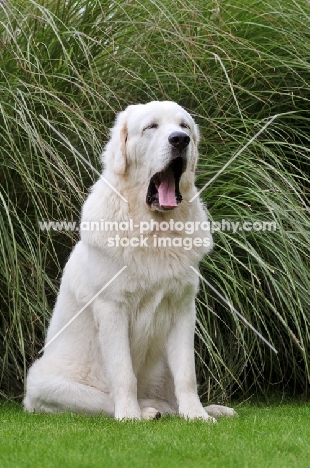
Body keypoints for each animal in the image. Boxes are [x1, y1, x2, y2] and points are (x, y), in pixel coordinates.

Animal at [24, 101, 235, 420]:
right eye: (151, 127)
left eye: (184, 126)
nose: (180, 140)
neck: (156, 232)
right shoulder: (112, 309)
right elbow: (124, 374)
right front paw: (129, 416)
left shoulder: (183, 308)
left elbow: (187, 374)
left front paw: (196, 415)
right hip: (42, 382)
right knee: (104, 400)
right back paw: (148, 411)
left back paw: (208, 409)